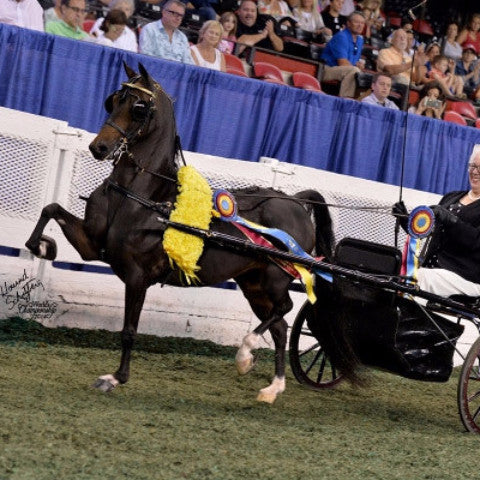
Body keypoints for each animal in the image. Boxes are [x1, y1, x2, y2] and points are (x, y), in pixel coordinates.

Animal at [25, 62, 334, 404]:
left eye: (138, 108)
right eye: (113, 100)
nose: (99, 147)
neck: (142, 197)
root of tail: (295, 201)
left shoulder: (137, 275)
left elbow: (129, 330)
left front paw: (115, 378)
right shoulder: (92, 246)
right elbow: (51, 209)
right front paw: (42, 246)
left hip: (275, 279)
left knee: (285, 310)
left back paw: (245, 354)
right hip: (252, 283)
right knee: (279, 327)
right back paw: (272, 387)